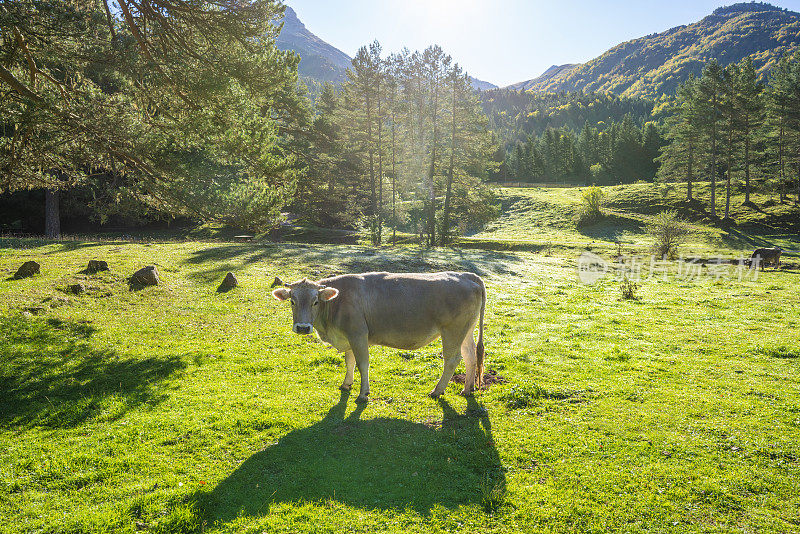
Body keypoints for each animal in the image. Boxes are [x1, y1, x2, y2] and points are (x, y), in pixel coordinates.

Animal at [274, 274, 488, 404]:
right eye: (292, 301)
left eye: (315, 301)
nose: (303, 327)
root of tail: (467, 275)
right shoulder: (348, 337)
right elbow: (349, 362)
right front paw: (346, 384)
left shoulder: (358, 334)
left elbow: (362, 364)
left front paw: (363, 394)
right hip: (466, 330)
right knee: (470, 356)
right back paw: (467, 389)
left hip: (453, 330)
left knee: (452, 359)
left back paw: (437, 390)